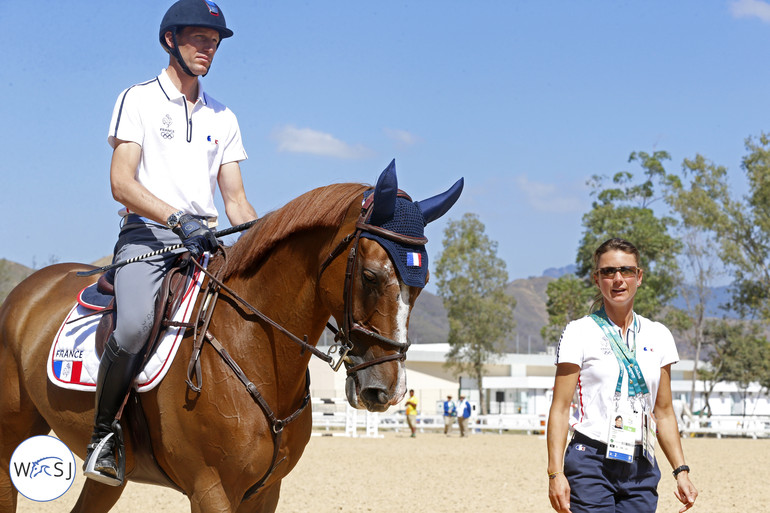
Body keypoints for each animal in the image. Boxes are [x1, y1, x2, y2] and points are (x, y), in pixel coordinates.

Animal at [0, 164, 462, 512]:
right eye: (369, 276)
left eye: (421, 285)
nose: (386, 390)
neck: (252, 343)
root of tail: (28, 290)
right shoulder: (212, 490)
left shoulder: (265, 492)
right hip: (11, 438)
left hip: (108, 479)